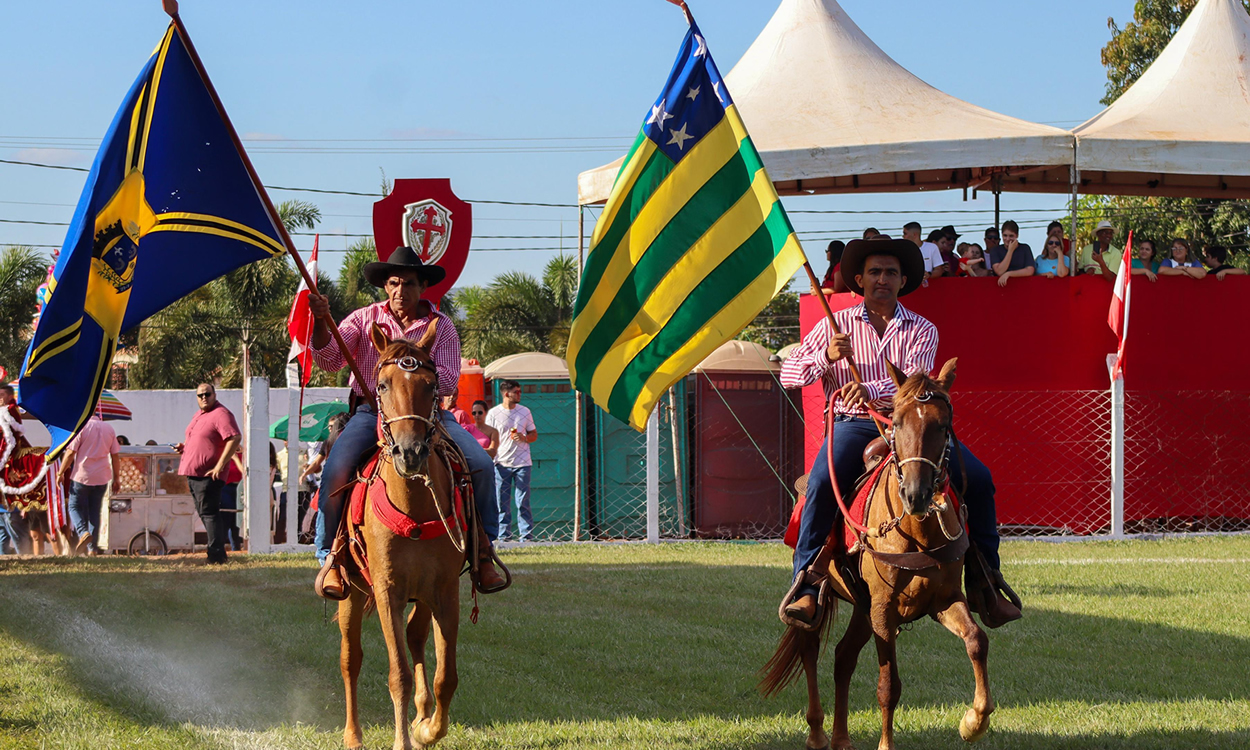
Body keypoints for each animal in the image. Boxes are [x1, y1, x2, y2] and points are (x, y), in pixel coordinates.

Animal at [337, 322, 470, 750]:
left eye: (431, 384)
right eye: (381, 385)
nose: (410, 453)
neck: (415, 506)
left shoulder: (445, 589)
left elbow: (446, 676)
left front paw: (426, 728)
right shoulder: (386, 590)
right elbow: (398, 674)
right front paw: (402, 740)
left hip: (422, 593)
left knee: (415, 637)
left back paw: (422, 713)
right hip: (351, 590)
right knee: (351, 658)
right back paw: (353, 735)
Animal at [760, 357, 995, 750]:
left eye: (943, 425)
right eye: (897, 422)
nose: (916, 494)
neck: (916, 532)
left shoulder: (943, 599)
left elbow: (977, 641)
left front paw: (973, 722)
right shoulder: (884, 610)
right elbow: (888, 686)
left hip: (862, 607)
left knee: (843, 657)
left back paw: (841, 738)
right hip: (822, 598)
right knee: (810, 648)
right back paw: (818, 733)